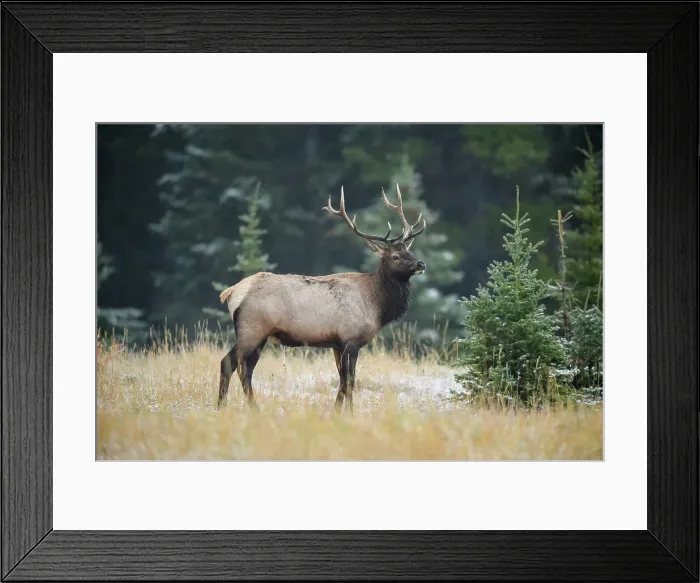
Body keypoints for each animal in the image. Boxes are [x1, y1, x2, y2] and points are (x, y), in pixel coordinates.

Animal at [216, 184, 427, 413]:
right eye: (395, 256)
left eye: (411, 251)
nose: (421, 264)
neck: (377, 305)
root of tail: (231, 292)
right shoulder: (350, 338)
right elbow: (350, 380)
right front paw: (350, 413)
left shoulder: (336, 343)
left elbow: (342, 381)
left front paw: (336, 411)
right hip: (252, 329)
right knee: (229, 363)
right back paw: (225, 407)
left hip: (259, 336)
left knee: (244, 369)